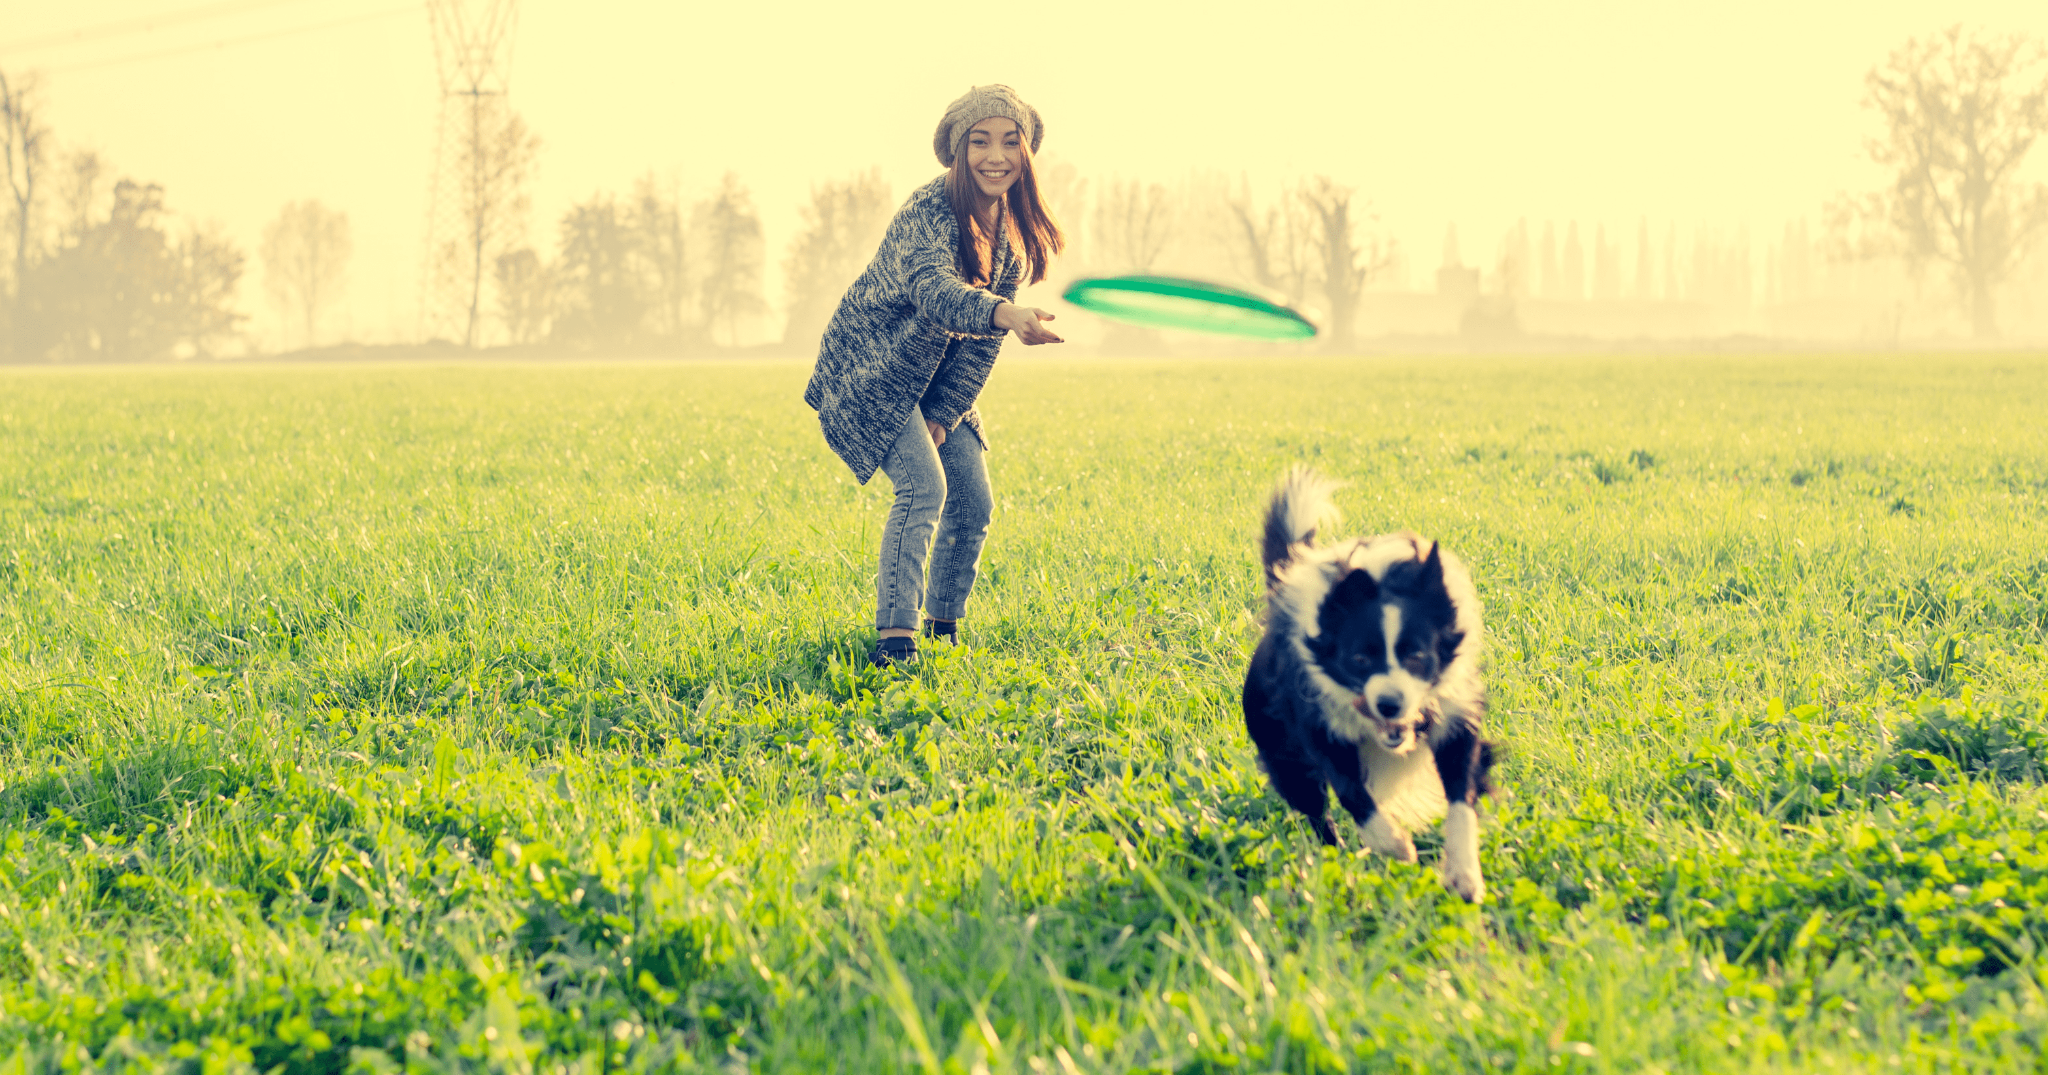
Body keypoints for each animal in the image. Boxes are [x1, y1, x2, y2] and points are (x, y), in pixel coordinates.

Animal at [1236, 466, 1499, 896]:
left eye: (1417, 656)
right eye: (1359, 659)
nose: (1389, 705)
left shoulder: (1455, 716)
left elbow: (1462, 796)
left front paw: (1463, 874)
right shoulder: (1320, 726)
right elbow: (1352, 794)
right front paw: (1394, 845)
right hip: (1283, 752)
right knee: (1316, 810)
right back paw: (1337, 860)